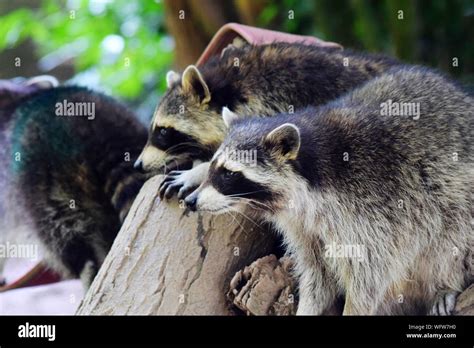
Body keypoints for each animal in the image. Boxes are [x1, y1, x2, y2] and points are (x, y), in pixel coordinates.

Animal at [185, 66, 474, 316]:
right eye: (212, 166)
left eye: (229, 173)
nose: (191, 201)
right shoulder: (303, 227)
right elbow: (316, 275)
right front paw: (307, 307)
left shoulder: (378, 210)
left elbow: (369, 276)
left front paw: (355, 308)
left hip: (454, 197)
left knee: (453, 236)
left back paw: (448, 284)